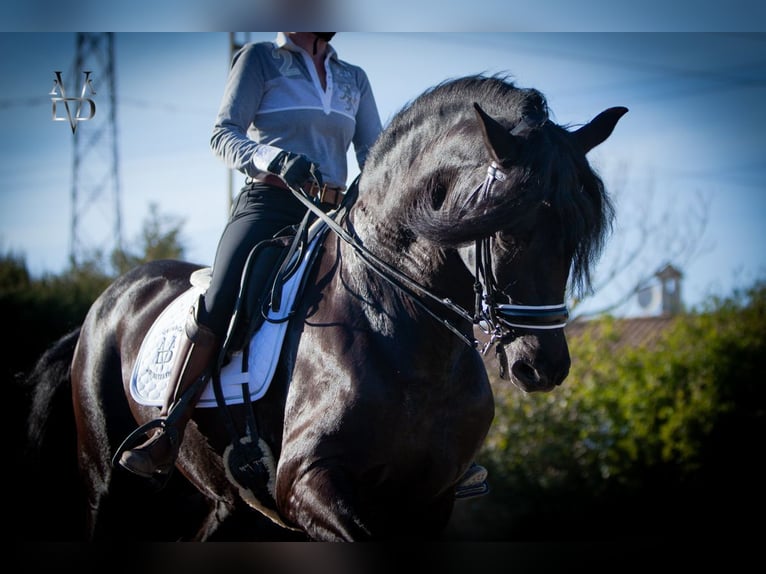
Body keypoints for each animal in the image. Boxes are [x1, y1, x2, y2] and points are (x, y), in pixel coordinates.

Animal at [25, 74, 624, 544]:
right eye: (509, 229)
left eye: (575, 236)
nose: (543, 367)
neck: (405, 339)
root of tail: (108, 300)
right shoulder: (305, 482)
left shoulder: (432, 498)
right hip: (108, 483)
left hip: (228, 504)